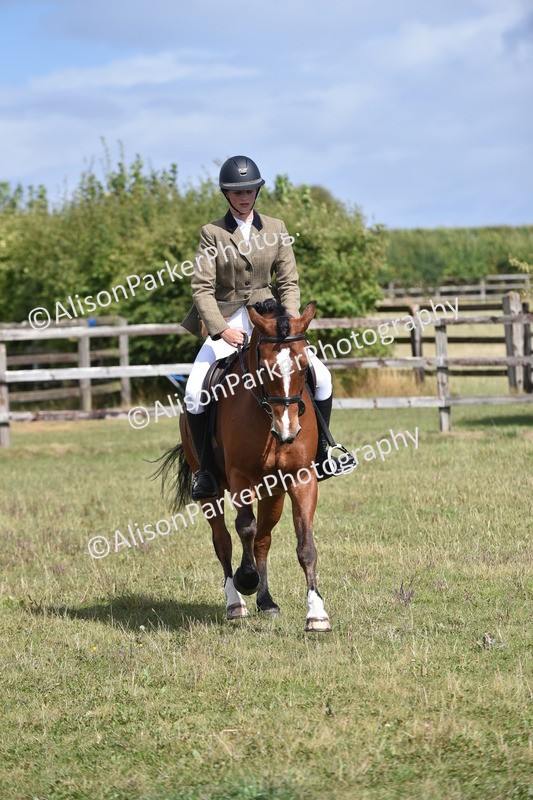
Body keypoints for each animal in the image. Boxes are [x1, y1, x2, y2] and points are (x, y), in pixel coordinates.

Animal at [158, 300, 332, 632]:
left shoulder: (300, 478)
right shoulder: (241, 477)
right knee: (223, 540)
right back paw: (236, 602)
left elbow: (306, 544)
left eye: (305, 367)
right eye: (265, 368)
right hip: (211, 490)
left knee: (263, 538)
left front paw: (317, 614)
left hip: (273, 492)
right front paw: (246, 579)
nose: (288, 432)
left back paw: (266, 601)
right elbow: (244, 528)